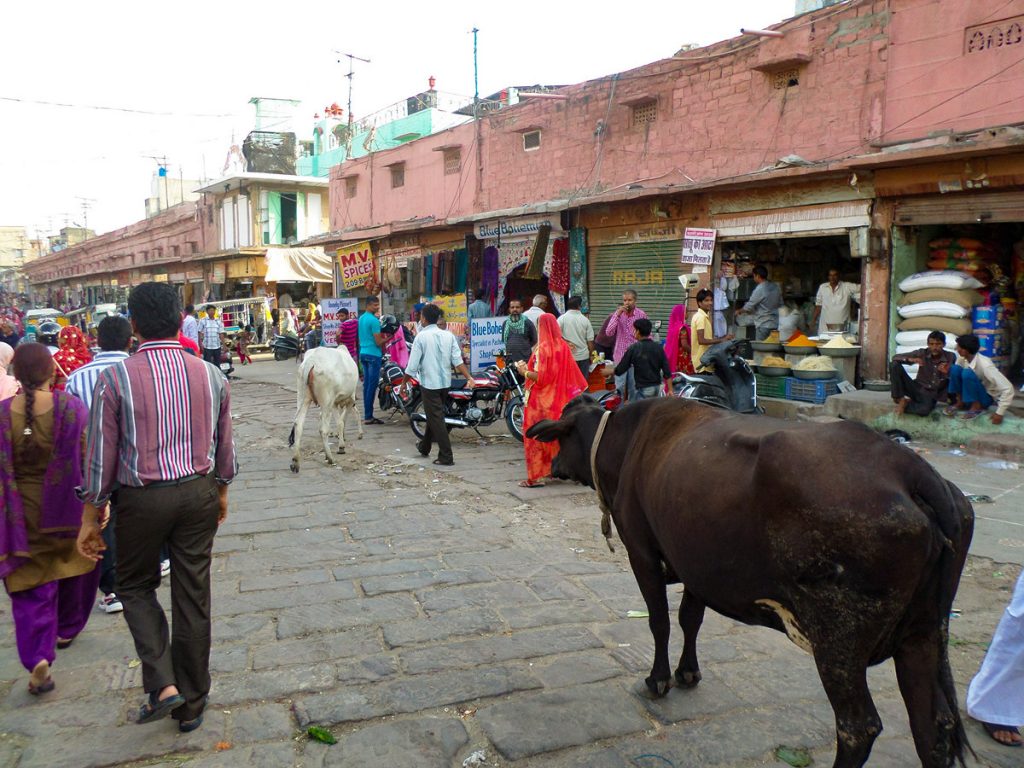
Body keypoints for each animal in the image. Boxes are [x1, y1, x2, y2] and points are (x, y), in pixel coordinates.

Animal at [528, 397, 974, 768]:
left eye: (562, 436)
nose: (553, 467)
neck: (629, 441)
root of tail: (910, 468)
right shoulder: (697, 563)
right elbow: (691, 619)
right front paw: (689, 672)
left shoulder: (642, 551)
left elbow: (660, 621)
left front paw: (659, 679)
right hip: (923, 633)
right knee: (933, 726)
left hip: (839, 643)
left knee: (858, 727)